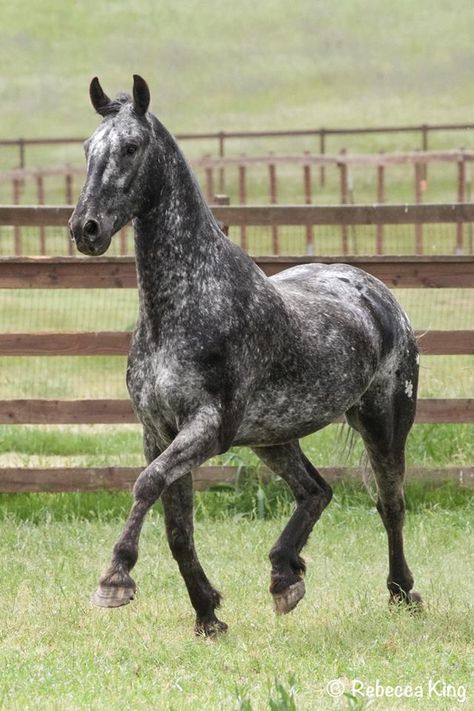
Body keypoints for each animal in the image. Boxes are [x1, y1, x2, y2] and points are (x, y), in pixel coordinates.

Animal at [69, 75, 422, 636]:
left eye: (131, 147)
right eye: (88, 148)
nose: (86, 229)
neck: (187, 302)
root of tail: (376, 291)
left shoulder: (206, 429)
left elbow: (146, 486)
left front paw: (115, 580)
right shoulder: (158, 432)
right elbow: (177, 528)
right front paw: (208, 614)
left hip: (384, 423)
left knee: (390, 504)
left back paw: (402, 592)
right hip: (273, 437)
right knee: (316, 491)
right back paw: (284, 576)